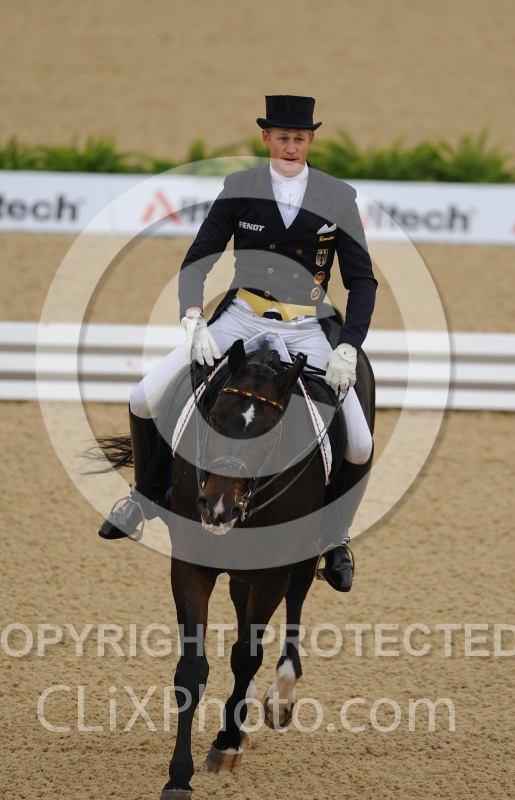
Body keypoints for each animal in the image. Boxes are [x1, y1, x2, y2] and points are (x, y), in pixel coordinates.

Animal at [97, 337, 375, 799]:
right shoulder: (191, 563)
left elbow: (246, 656)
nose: (217, 508)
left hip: (303, 555)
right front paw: (179, 775)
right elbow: (193, 668)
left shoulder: (273, 573)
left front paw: (225, 744)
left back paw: (280, 696)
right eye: (212, 419)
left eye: (270, 434)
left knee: (295, 603)